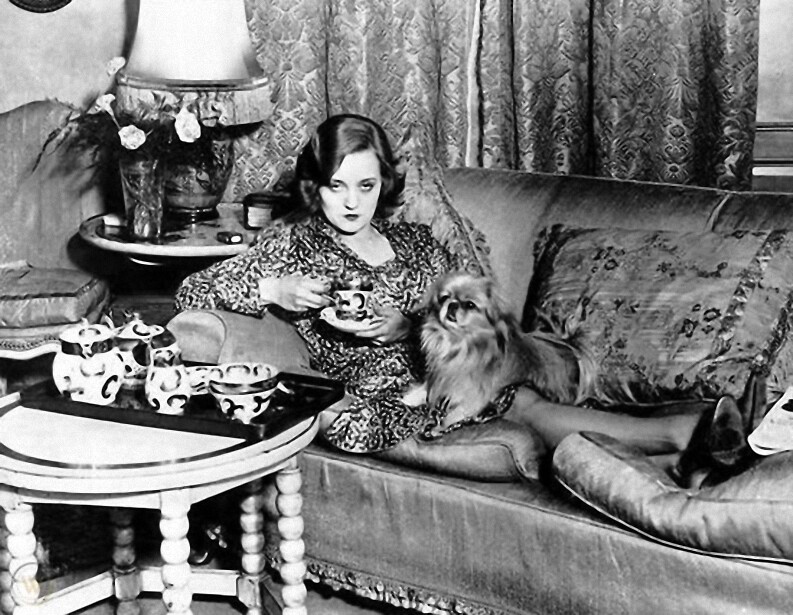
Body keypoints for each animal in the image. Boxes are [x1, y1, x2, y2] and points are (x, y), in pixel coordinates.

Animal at [419, 272, 594, 427]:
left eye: (470, 305)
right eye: (444, 298)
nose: (452, 304)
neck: (460, 342)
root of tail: (569, 348)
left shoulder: (473, 399)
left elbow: (450, 417)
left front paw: (436, 429)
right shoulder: (439, 377)